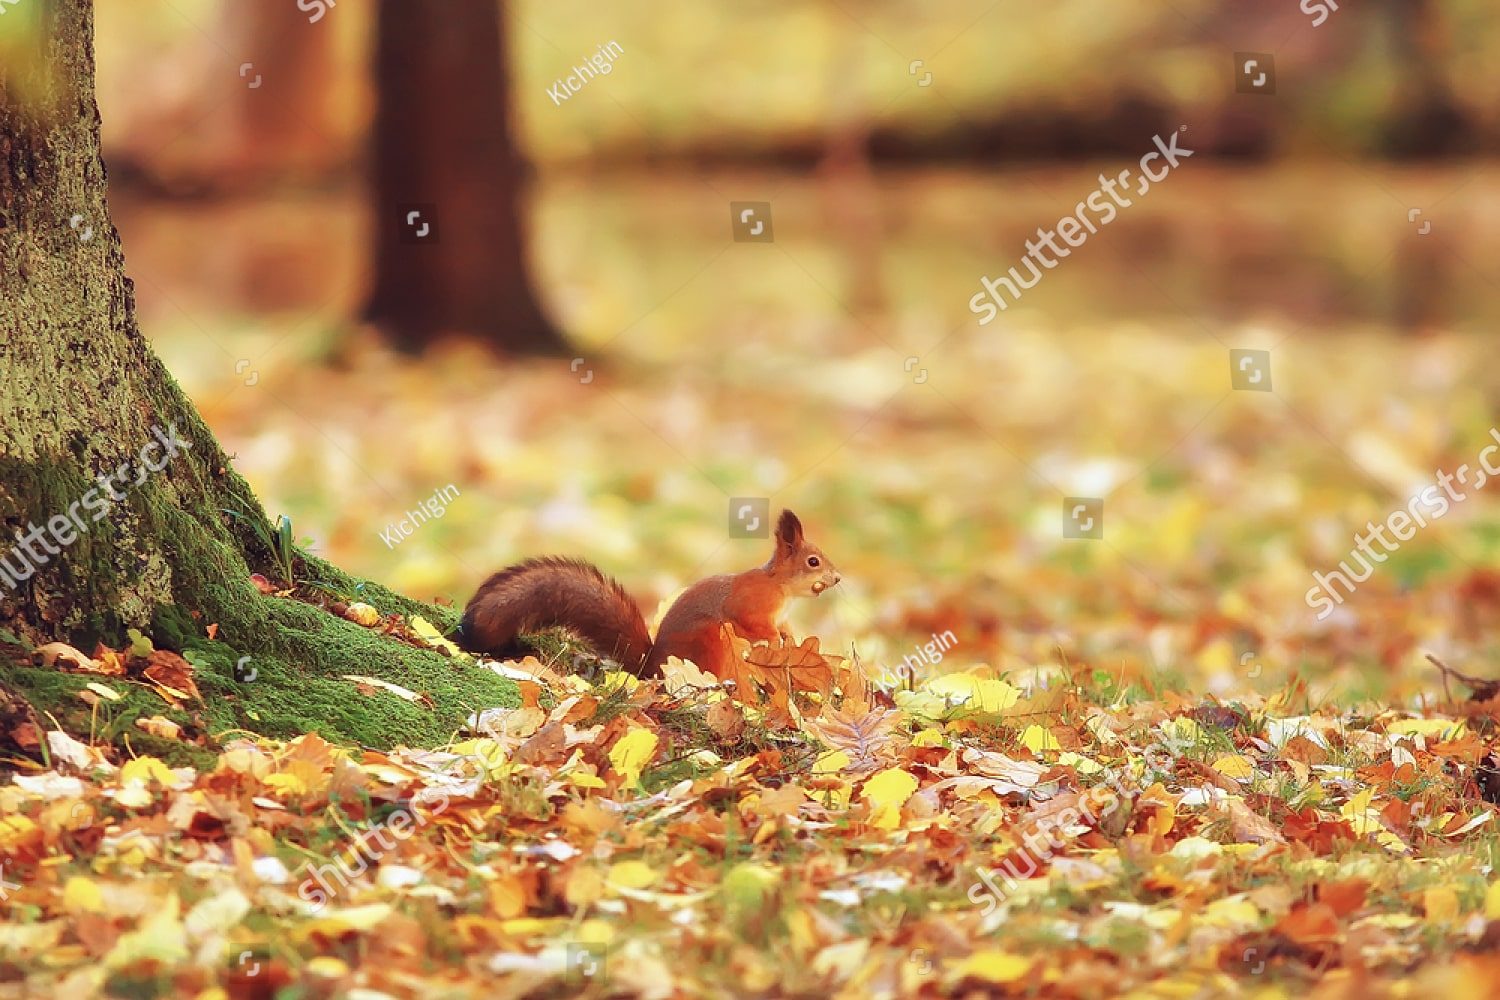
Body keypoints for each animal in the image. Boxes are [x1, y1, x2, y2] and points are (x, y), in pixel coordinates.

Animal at [454, 509, 840, 679]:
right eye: (813, 561)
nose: (837, 578)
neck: (780, 588)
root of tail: (651, 666)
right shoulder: (750, 604)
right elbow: (751, 623)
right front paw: (775, 639)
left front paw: (790, 636)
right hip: (710, 643)